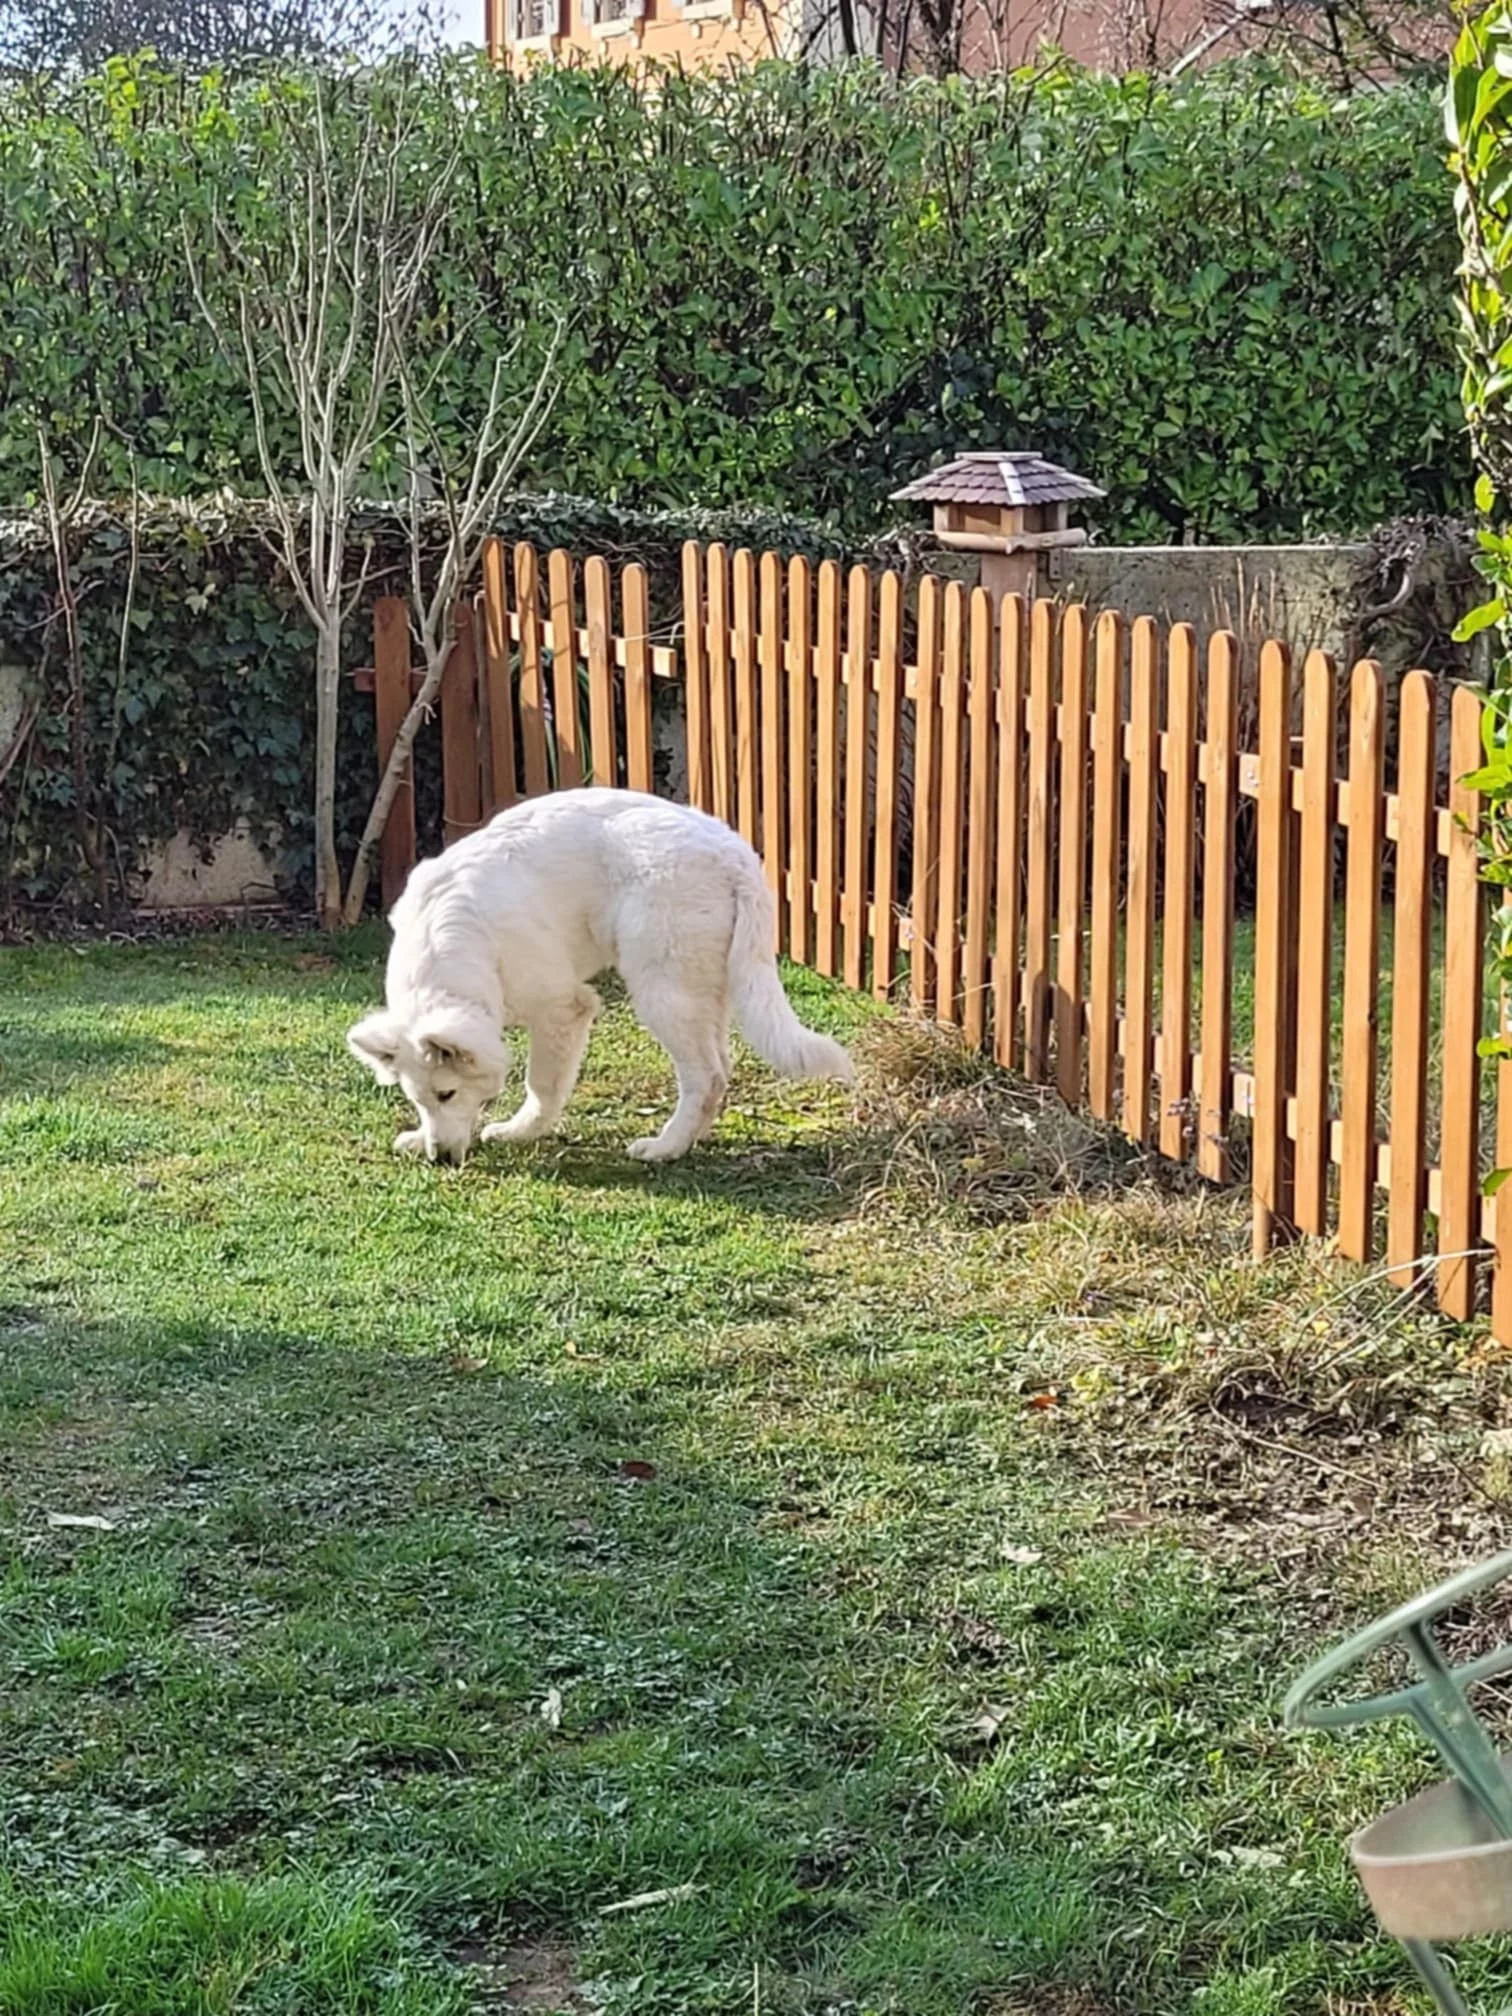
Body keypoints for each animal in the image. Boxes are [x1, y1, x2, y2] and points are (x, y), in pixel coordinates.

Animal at [347, 788, 854, 1166]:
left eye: (448, 1093)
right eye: (419, 1100)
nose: (441, 1160)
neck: (447, 947)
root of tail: (733, 851)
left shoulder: (562, 1009)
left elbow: (542, 1084)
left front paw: (520, 1131)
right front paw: (419, 1136)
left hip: (661, 989)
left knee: (706, 1075)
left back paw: (665, 1147)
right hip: (705, 987)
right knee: (720, 1069)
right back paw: (688, 1139)